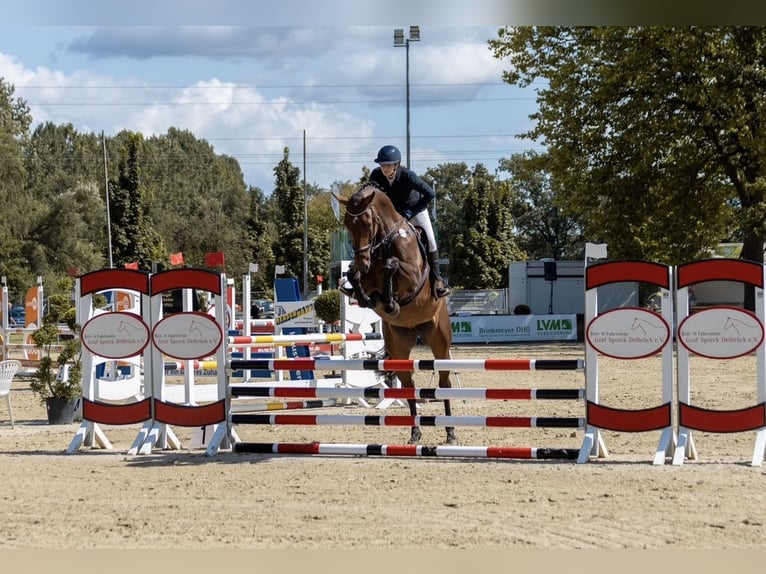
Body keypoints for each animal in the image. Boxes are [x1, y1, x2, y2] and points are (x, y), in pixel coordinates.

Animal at [334, 182, 456, 448]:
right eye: (347, 223)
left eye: (367, 221)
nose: (362, 260)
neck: (383, 242)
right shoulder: (367, 276)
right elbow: (356, 277)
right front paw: (372, 298)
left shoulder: (412, 276)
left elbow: (392, 265)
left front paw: (390, 302)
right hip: (400, 347)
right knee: (409, 387)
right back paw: (415, 433)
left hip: (440, 343)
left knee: (444, 384)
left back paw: (451, 432)